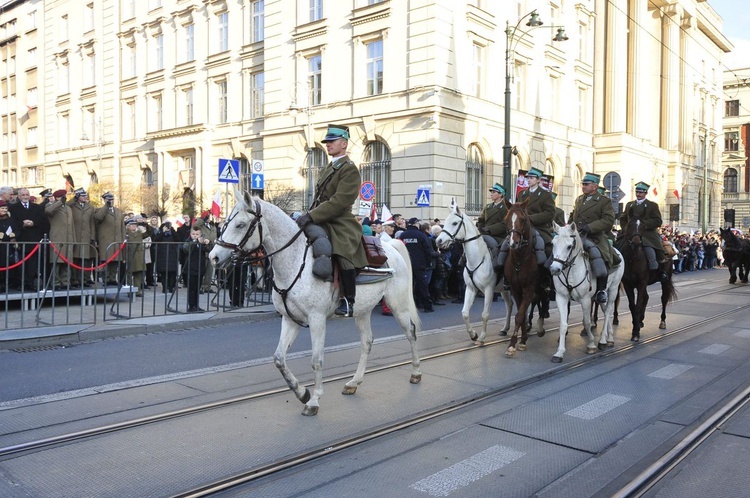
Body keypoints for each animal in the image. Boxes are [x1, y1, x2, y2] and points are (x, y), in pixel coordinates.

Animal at [210, 191, 424, 416]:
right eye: (226, 223)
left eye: (240, 225)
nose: (213, 257)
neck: (296, 262)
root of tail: (391, 246)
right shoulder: (290, 319)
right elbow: (279, 358)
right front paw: (301, 392)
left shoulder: (317, 320)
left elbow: (316, 360)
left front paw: (314, 400)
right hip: (362, 310)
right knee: (367, 342)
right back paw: (353, 383)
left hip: (398, 305)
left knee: (411, 333)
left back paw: (416, 372)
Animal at [434, 202, 516, 346]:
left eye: (454, 223)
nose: (438, 241)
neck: (477, 259)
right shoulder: (470, 288)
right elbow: (465, 313)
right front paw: (473, 335)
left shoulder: (489, 290)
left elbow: (485, 314)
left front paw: (482, 337)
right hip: (504, 289)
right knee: (510, 306)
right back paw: (505, 329)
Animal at [506, 200, 548, 356]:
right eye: (506, 219)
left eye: (523, 220)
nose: (513, 243)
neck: (520, 260)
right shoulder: (515, 290)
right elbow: (522, 314)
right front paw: (522, 340)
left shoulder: (529, 289)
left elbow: (519, 315)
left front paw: (512, 344)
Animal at [548, 223, 624, 362]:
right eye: (553, 243)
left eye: (569, 246)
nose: (555, 269)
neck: (570, 271)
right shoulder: (561, 297)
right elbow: (563, 325)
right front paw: (559, 353)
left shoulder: (585, 299)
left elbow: (587, 322)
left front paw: (591, 345)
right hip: (600, 295)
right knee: (606, 309)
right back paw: (610, 338)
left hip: (613, 289)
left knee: (608, 311)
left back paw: (603, 341)